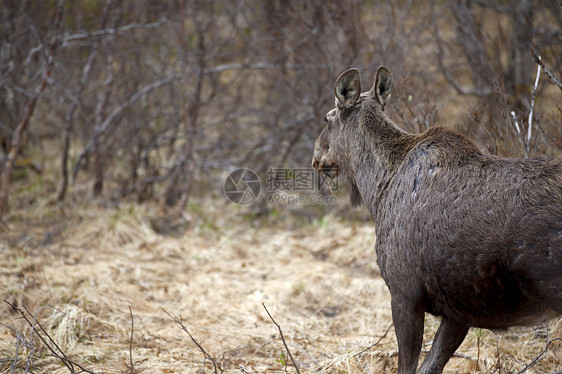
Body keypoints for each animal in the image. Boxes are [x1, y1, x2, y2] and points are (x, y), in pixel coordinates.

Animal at [310, 66, 560, 374]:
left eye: (328, 118)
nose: (316, 155)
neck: (377, 191)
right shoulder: (458, 312)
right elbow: (430, 366)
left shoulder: (404, 293)